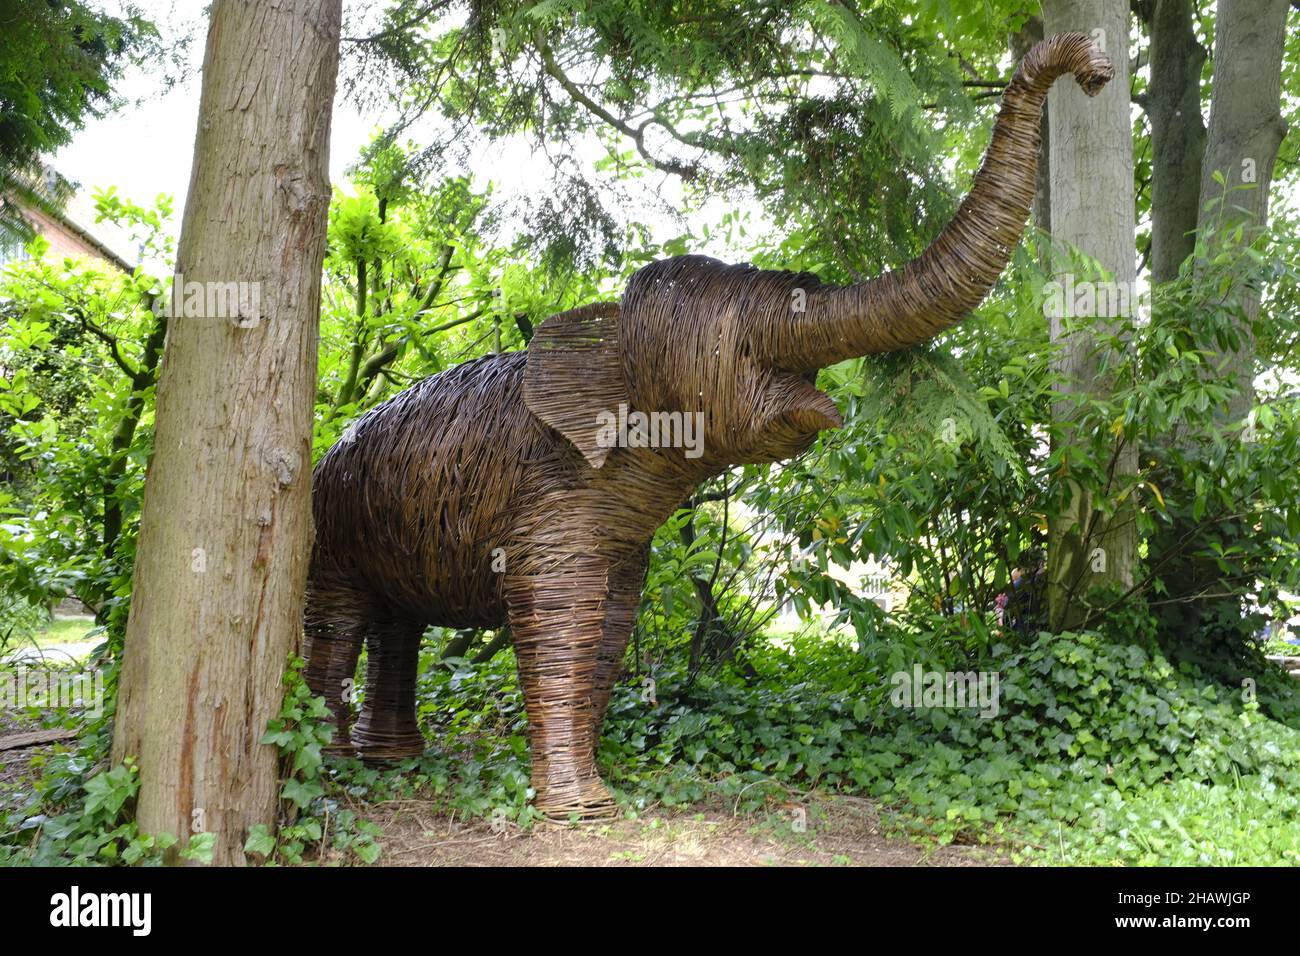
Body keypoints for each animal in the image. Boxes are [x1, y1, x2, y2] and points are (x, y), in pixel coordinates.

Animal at [303, 33, 1113, 818]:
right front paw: (581, 813)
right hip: (332, 528)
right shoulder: (550, 501)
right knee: (339, 629)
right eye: (748, 323)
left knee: (397, 628)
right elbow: (559, 618)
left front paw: (596, 793)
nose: (1096, 69)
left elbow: (611, 625)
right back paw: (338, 768)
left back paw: (392, 759)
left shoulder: (619, 536)